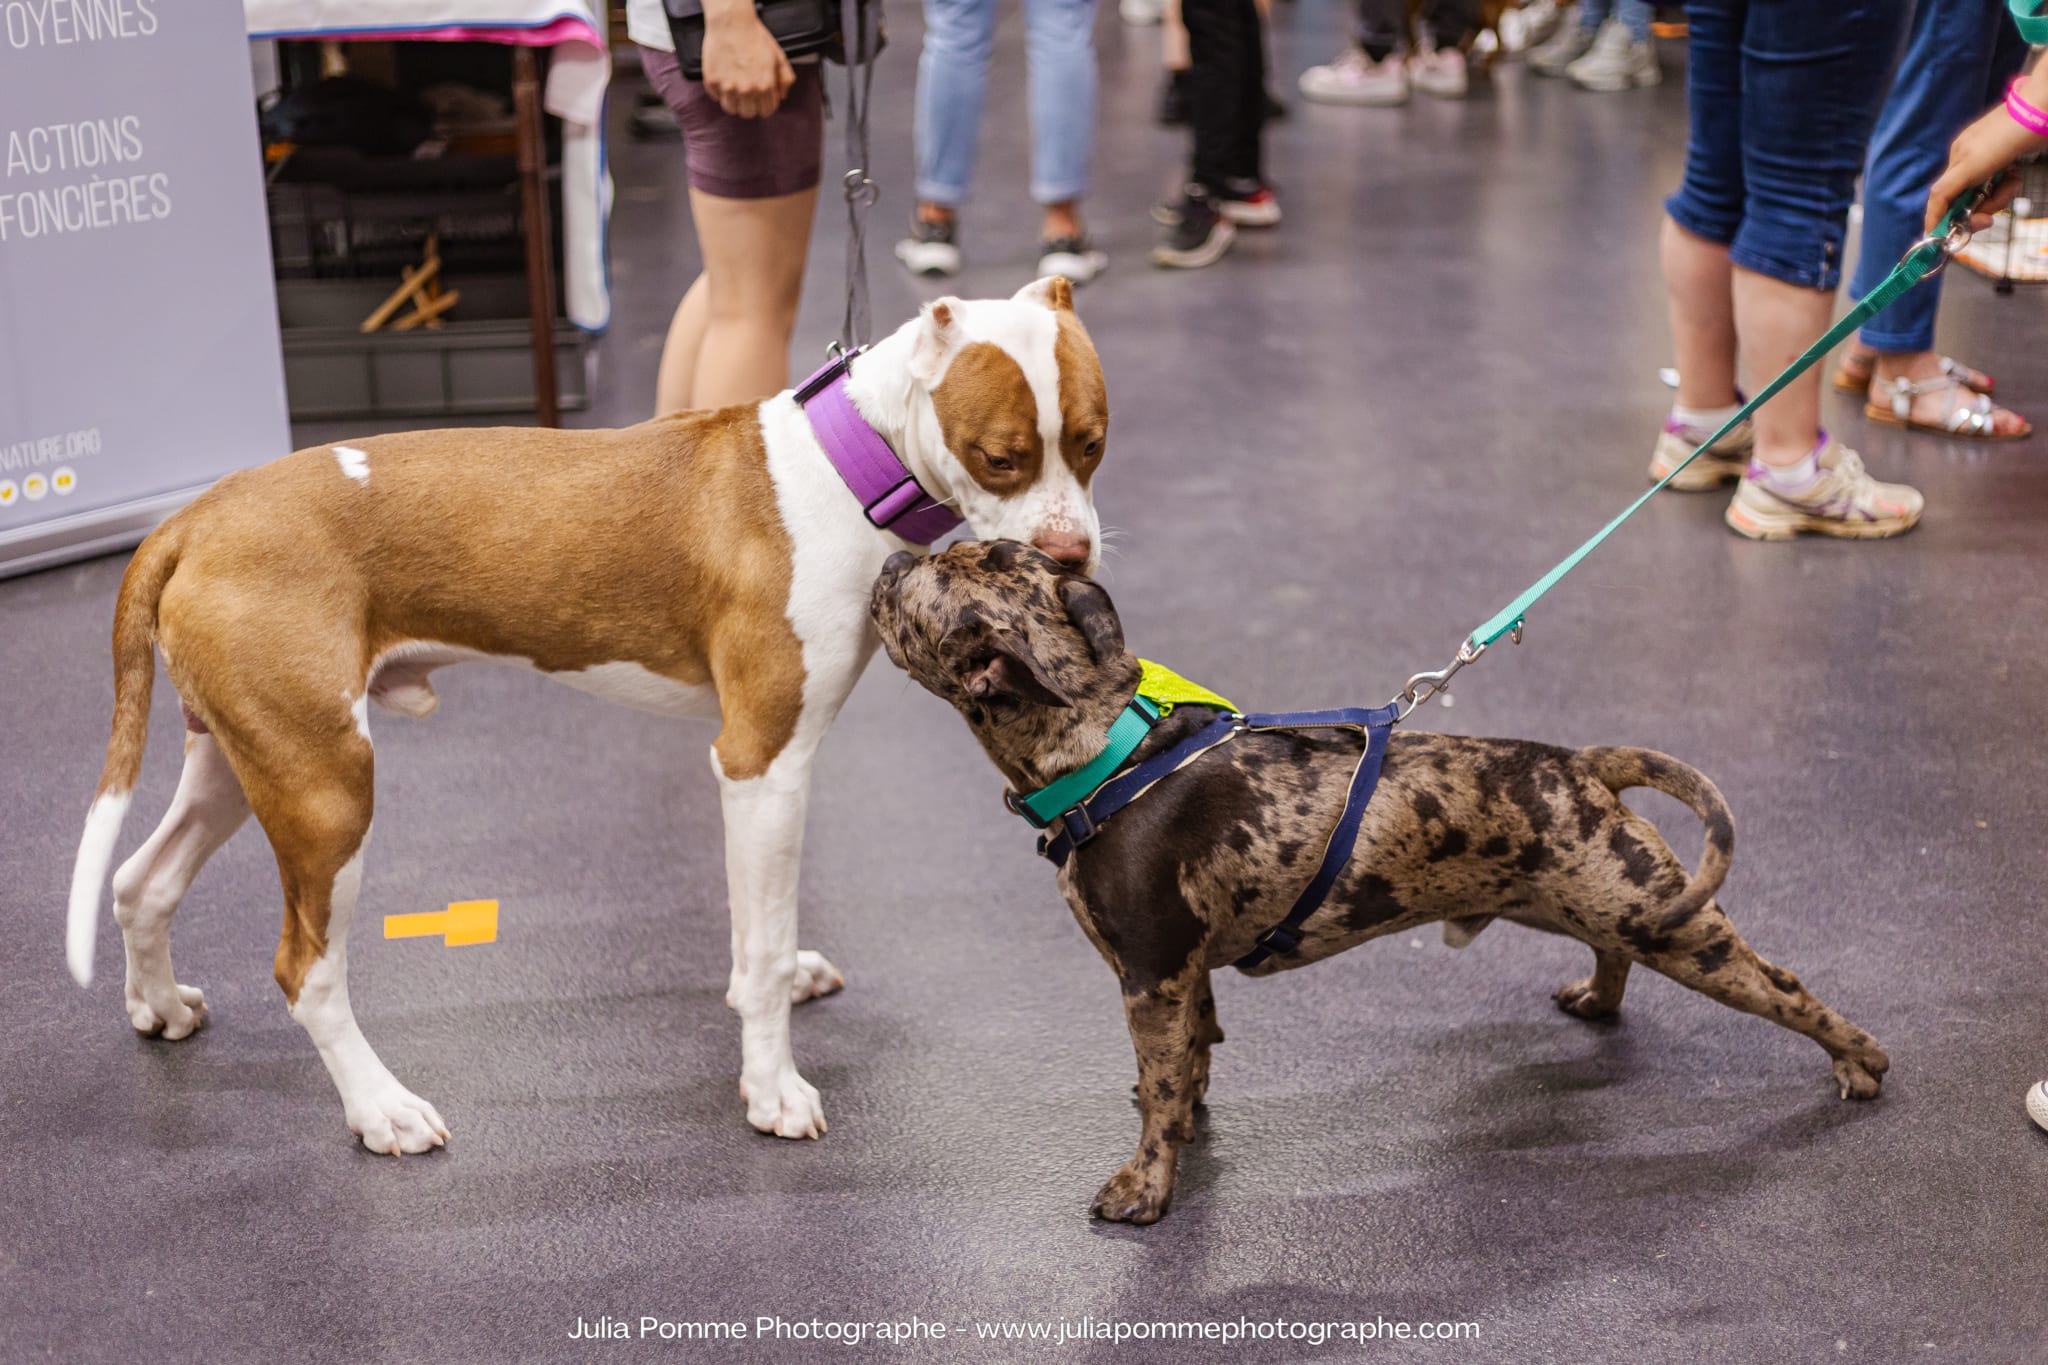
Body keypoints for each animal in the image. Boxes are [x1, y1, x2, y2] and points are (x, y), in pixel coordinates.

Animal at [64, 282, 1114, 1162]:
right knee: (305, 968)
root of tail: (194, 518)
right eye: (1000, 456)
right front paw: (772, 1088)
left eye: (1094, 443)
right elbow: (765, 947)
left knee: (142, 879)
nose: (1070, 554)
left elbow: (756, 928)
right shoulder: (764, 759)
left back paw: (159, 1006)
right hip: (326, 793)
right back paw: (381, 1109)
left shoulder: (759, 779)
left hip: (248, 761)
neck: (844, 463)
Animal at [864, 540, 1884, 1227]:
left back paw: (1859, 1061)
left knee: (1787, 987)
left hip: (1673, 926)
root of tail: (1582, 763)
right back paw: (1597, 999)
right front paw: (1189, 1121)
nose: (893, 552)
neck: (1105, 747)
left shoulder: (1150, 977)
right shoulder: (1183, 979)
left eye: (923, 582)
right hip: (1591, 903)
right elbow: (1190, 1062)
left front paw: (1146, 1184)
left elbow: (1158, 1089)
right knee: (1614, 955)